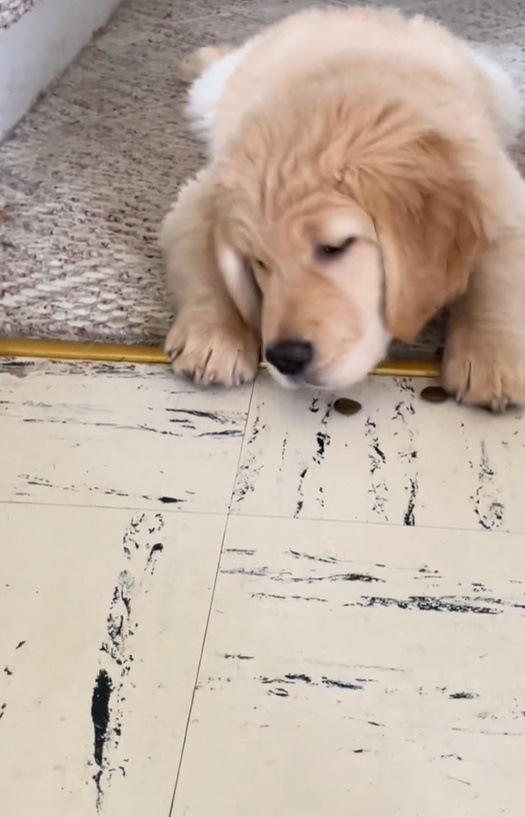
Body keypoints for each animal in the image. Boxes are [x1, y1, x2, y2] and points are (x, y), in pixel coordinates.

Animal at [161, 6, 524, 412]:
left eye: (335, 247)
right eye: (259, 263)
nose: (285, 358)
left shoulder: (497, 187)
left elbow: (499, 272)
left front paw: (490, 356)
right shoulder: (200, 195)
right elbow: (201, 251)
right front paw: (213, 335)